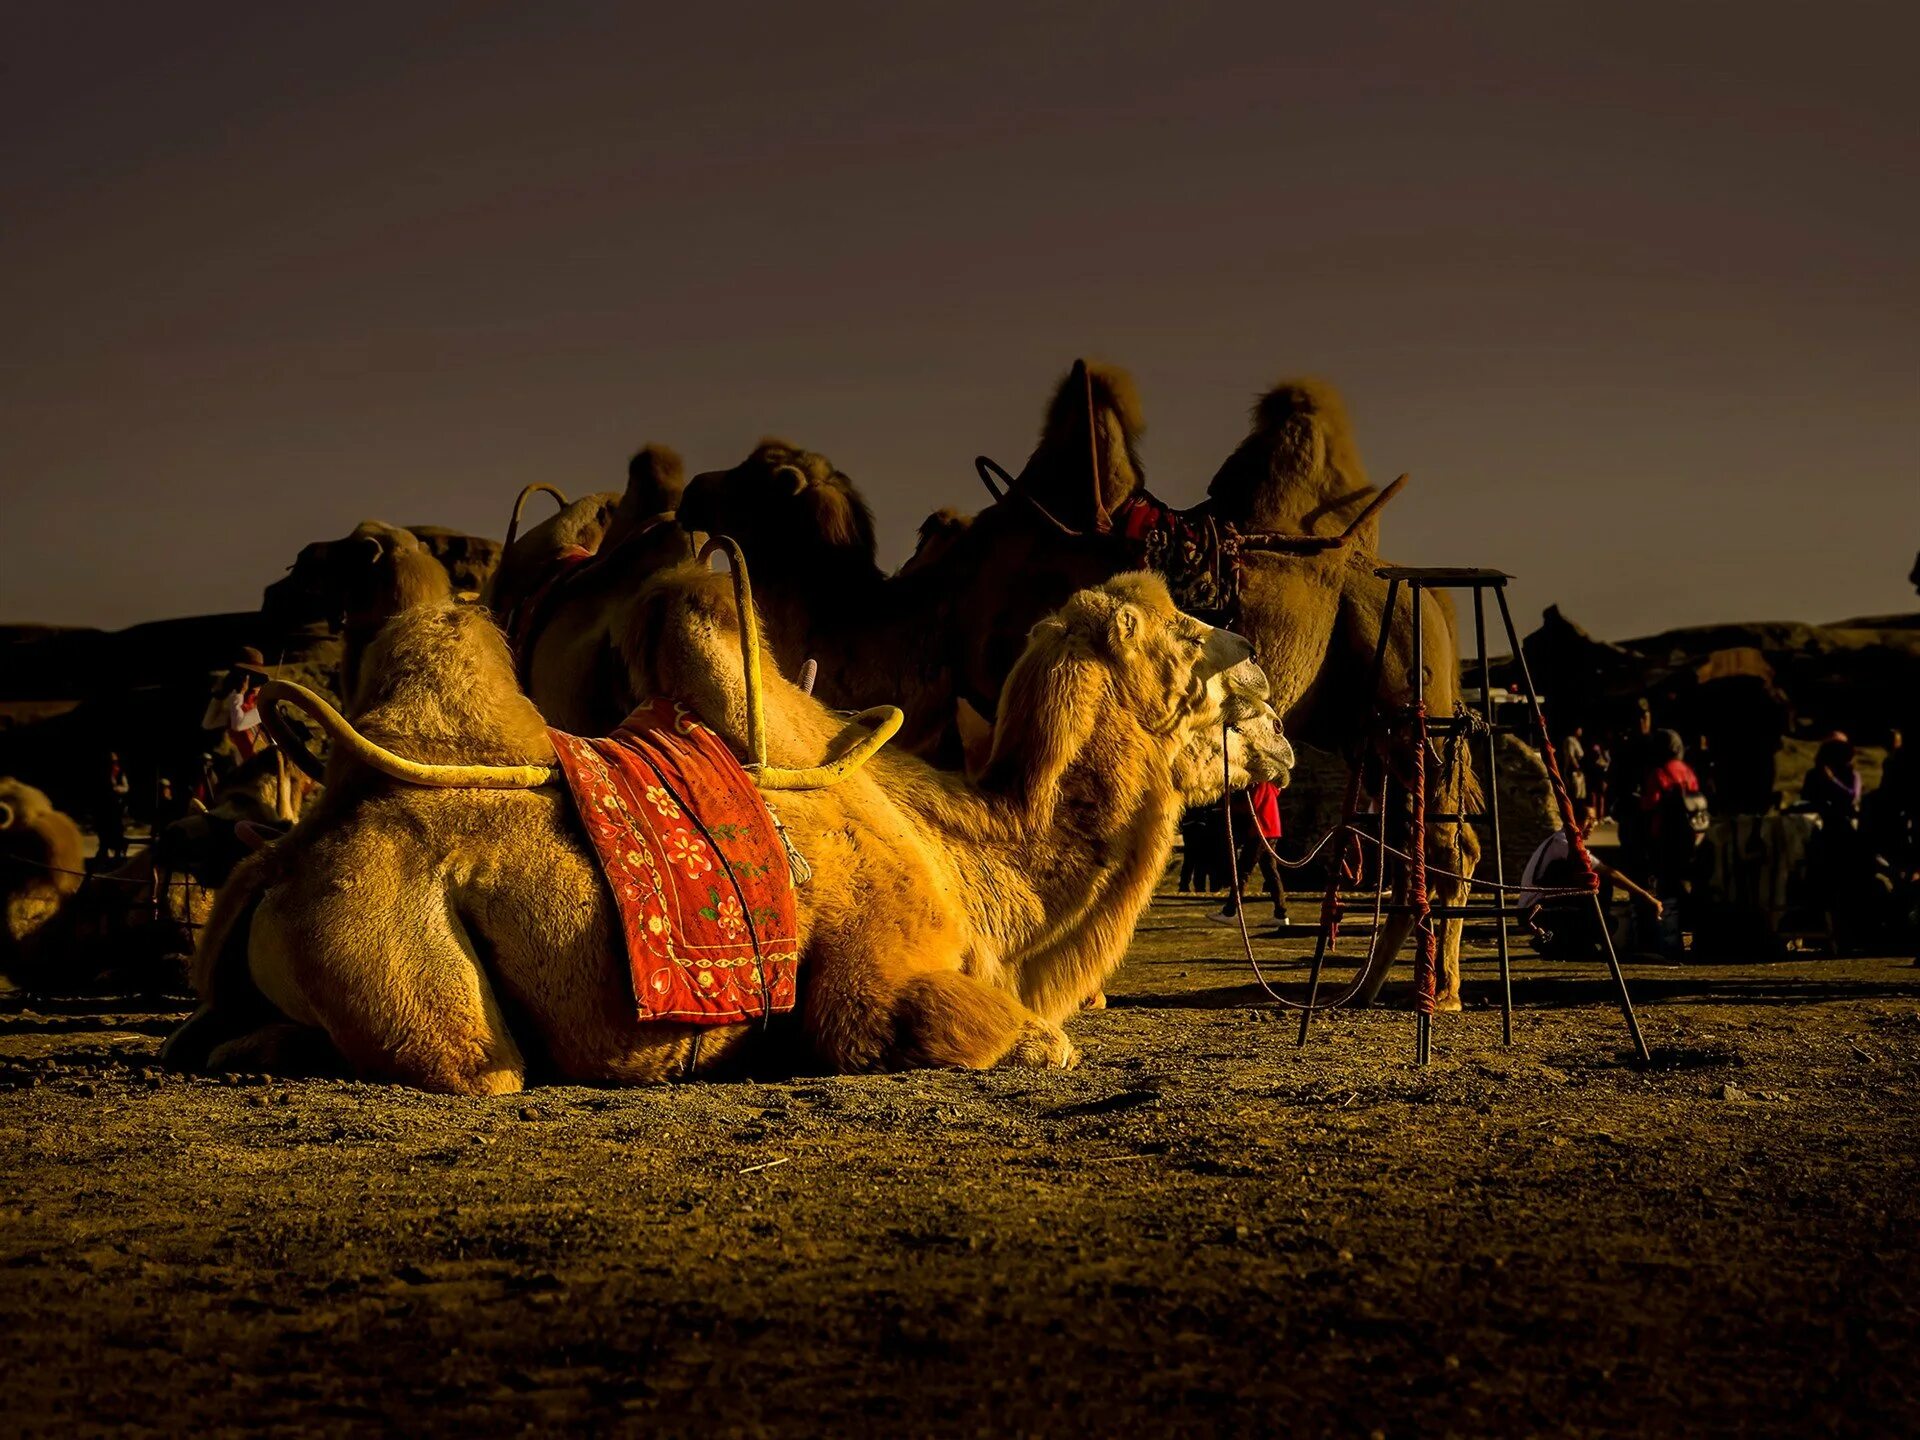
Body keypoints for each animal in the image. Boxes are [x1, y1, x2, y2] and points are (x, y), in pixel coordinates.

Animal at [165, 564, 1290, 1090]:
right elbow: (1018, 1039)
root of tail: (283, 868)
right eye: (1186, 639)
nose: (1277, 715)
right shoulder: (871, 997)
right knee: (482, 1065)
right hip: (420, 983)